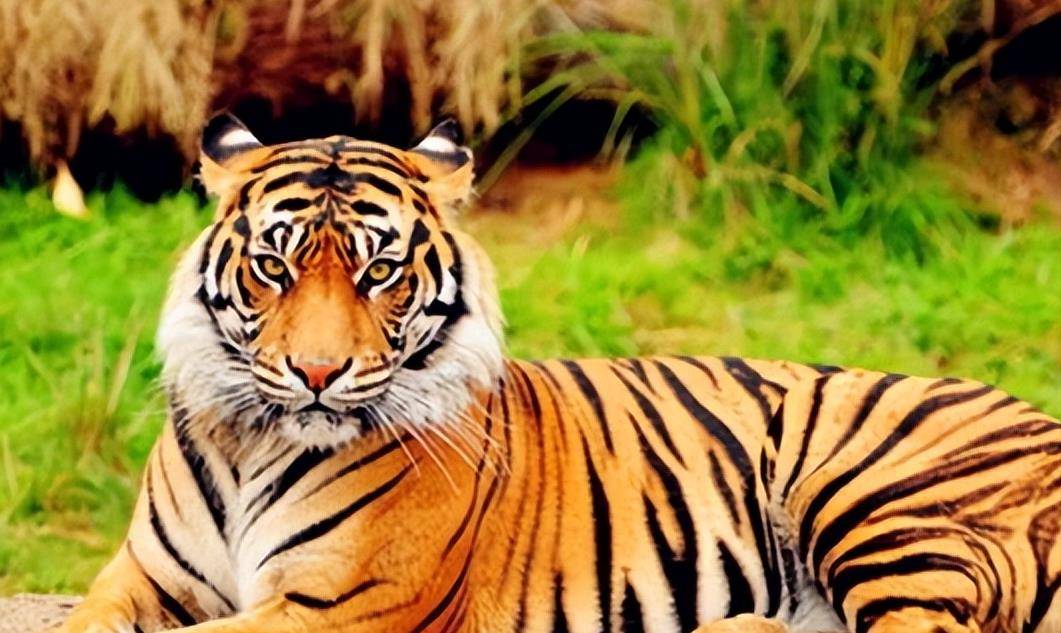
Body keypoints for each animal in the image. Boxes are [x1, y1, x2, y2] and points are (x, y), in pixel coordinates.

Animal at [55, 113, 1060, 633]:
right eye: (274, 265)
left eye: (379, 272)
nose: (315, 372)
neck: (252, 440)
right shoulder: (139, 580)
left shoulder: (340, 605)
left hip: (869, 491)